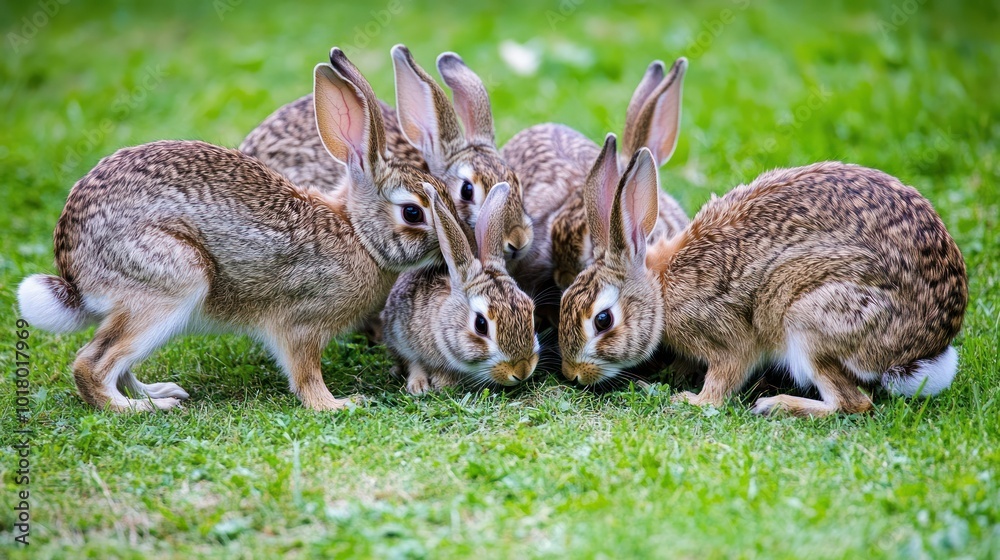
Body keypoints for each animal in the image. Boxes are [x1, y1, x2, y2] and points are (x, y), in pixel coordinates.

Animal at [16, 48, 455, 413]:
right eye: (413, 213)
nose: (456, 240)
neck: (357, 233)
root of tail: (72, 267)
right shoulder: (300, 324)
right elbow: (305, 372)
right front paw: (337, 405)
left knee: (118, 362)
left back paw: (158, 393)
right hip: (169, 285)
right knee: (92, 364)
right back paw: (139, 409)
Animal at [382, 182, 540, 394]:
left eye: (531, 313)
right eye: (480, 325)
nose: (522, 369)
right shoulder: (401, 336)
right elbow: (414, 362)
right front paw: (420, 385)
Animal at [558, 144, 968, 417]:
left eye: (603, 320)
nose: (573, 374)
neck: (661, 289)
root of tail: (927, 346)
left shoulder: (725, 335)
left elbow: (725, 376)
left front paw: (690, 400)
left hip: (806, 316)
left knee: (853, 403)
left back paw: (774, 405)